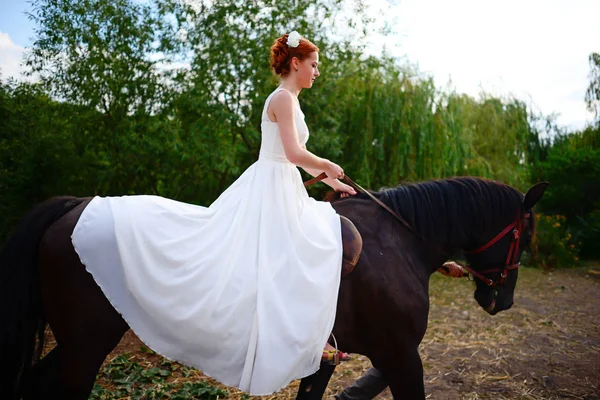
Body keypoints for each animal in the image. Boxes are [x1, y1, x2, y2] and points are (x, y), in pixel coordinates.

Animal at [0, 178, 548, 400]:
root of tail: (75, 206)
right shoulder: (399, 355)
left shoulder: (328, 358)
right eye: (526, 234)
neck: (398, 241)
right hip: (88, 342)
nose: (501, 300)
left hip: (79, 341)